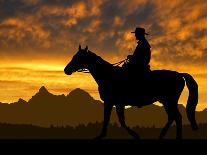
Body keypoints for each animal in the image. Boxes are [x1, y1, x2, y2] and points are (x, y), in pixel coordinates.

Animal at [64, 45, 198, 139]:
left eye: (78, 57)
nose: (66, 70)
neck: (108, 75)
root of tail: (179, 74)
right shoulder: (118, 103)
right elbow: (121, 121)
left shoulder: (110, 102)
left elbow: (109, 119)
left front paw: (101, 136)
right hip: (166, 101)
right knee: (172, 117)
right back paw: (161, 136)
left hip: (170, 101)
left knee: (177, 117)